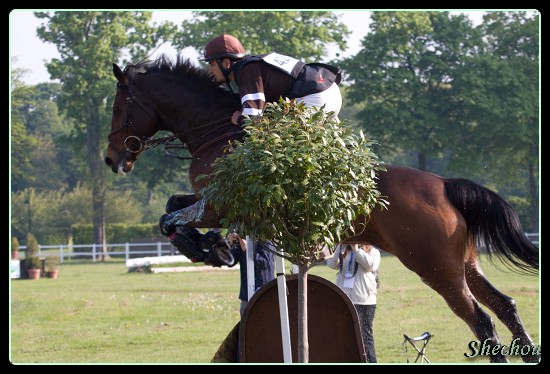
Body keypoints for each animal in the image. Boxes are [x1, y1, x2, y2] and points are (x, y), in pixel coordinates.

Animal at [105, 55, 540, 362]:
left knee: (481, 320)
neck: (217, 131)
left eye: (118, 108)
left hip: (435, 268)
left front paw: (205, 247)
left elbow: (171, 217)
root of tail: (446, 186)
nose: (111, 159)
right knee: (504, 305)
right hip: (463, 263)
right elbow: (173, 206)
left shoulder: (221, 204)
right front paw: (212, 248)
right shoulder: (212, 203)